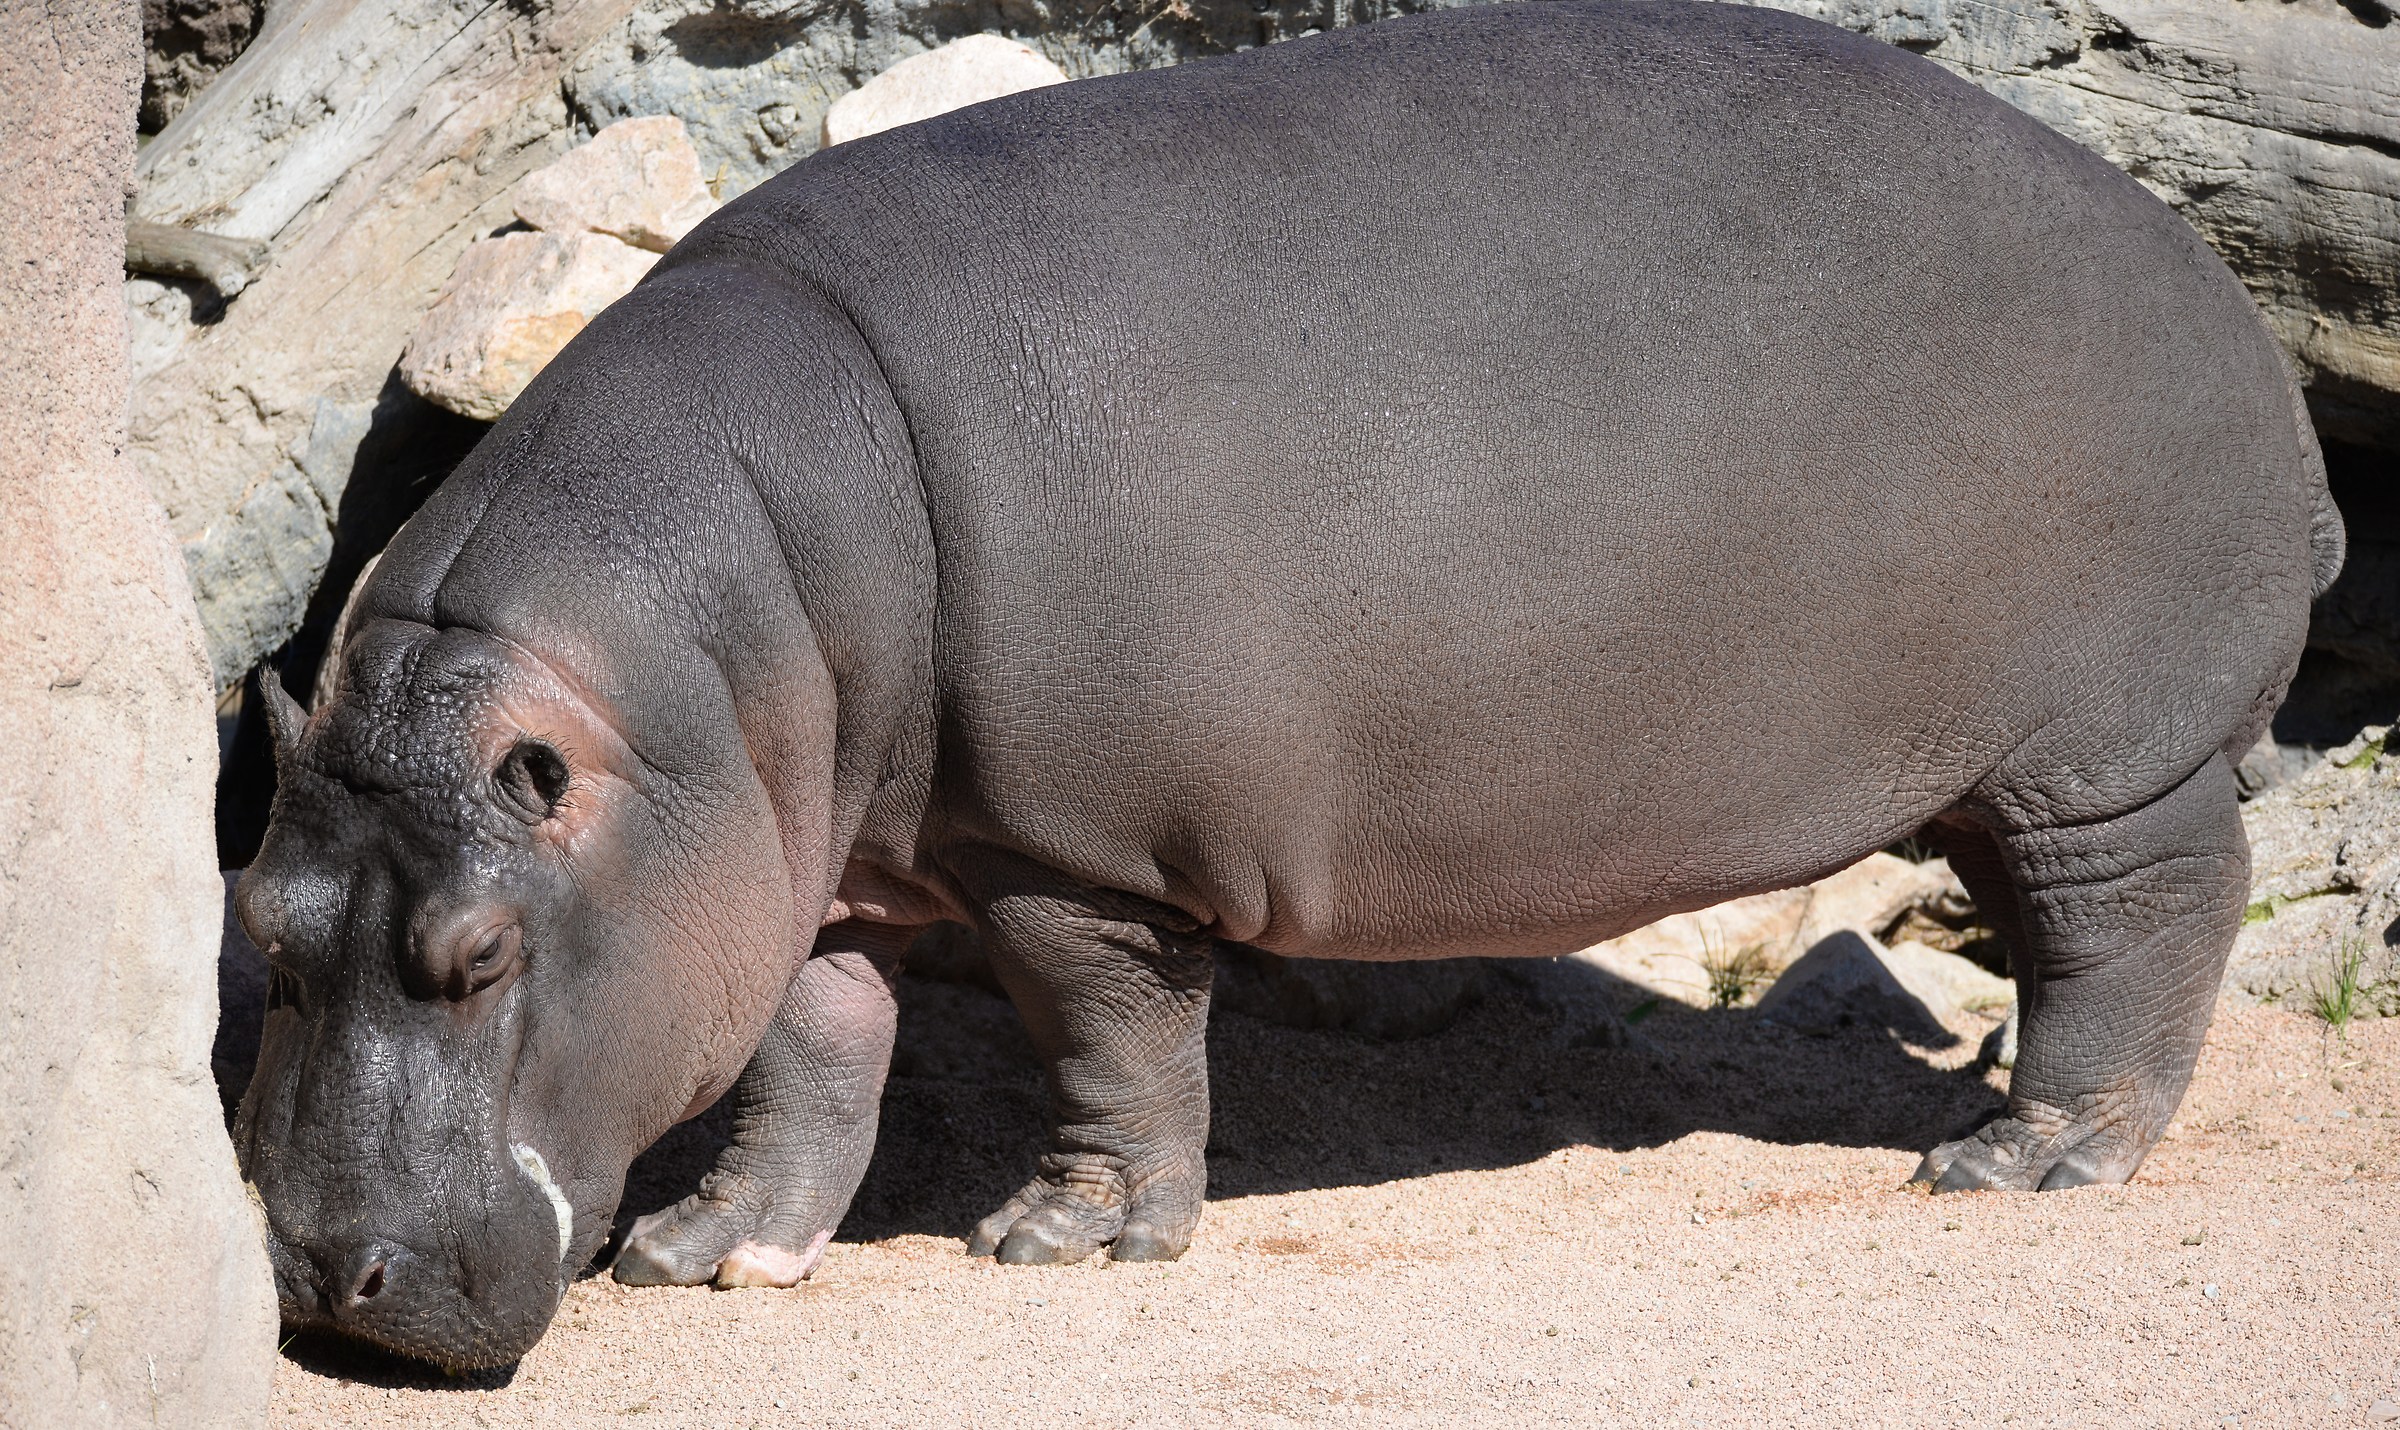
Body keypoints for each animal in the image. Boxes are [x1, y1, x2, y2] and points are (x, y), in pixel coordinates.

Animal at [232, 0, 2343, 1369]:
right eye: (255, 923)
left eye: (482, 954)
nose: (322, 1283)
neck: (709, 657)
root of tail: (2226, 295)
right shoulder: (795, 860)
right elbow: (806, 1051)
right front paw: (711, 1255)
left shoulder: (1066, 851)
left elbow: (1105, 1038)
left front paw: (1063, 1242)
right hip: (1992, 766)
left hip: (2109, 764)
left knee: (2142, 933)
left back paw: (2017, 1166)